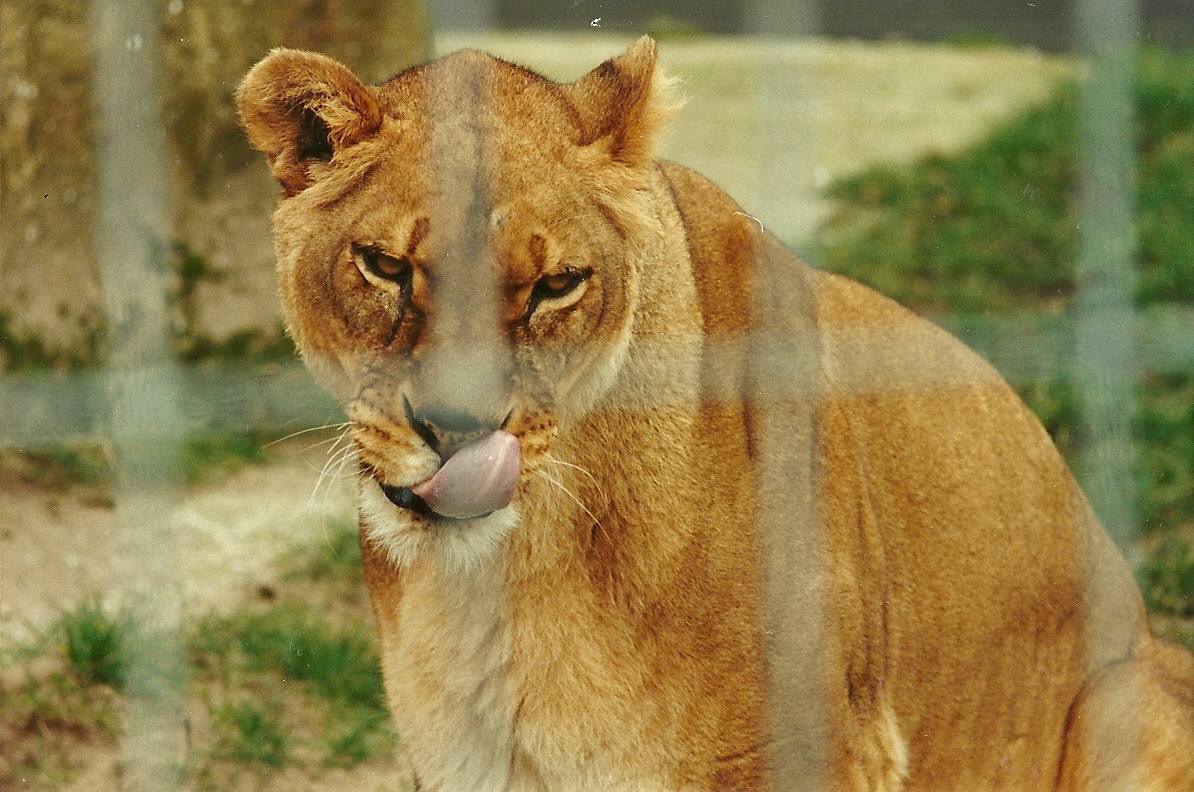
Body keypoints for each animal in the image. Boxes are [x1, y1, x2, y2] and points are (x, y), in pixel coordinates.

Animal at [237, 37, 1194, 791]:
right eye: (384, 266)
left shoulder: (811, 751)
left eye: (556, 285)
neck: (510, 581)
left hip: (1125, 701)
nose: (458, 431)